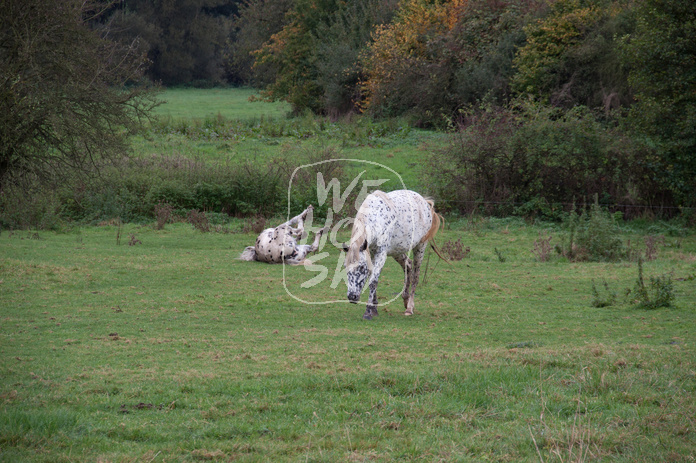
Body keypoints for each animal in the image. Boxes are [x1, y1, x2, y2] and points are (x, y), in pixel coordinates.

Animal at [342, 190, 446, 320]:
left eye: (361, 267)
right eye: (345, 267)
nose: (352, 297)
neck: (377, 217)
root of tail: (425, 202)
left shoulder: (381, 253)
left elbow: (373, 281)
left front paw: (368, 311)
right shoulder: (371, 252)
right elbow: (372, 276)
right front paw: (374, 308)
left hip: (420, 247)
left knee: (416, 276)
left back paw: (409, 308)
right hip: (397, 251)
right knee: (408, 265)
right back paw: (405, 299)